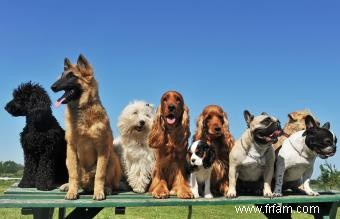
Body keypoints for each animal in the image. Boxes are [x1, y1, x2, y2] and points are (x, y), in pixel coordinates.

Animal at [49, 54, 120, 200]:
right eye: (62, 75)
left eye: (71, 76)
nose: (52, 87)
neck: (82, 108)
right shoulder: (71, 148)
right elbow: (73, 175)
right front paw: (72, 191)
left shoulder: (102, 148)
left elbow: (100, 174)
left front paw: (98, 192)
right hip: (67, 159)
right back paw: (67, 186)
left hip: (112, 159)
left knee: (108, 180)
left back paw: (106, 188)